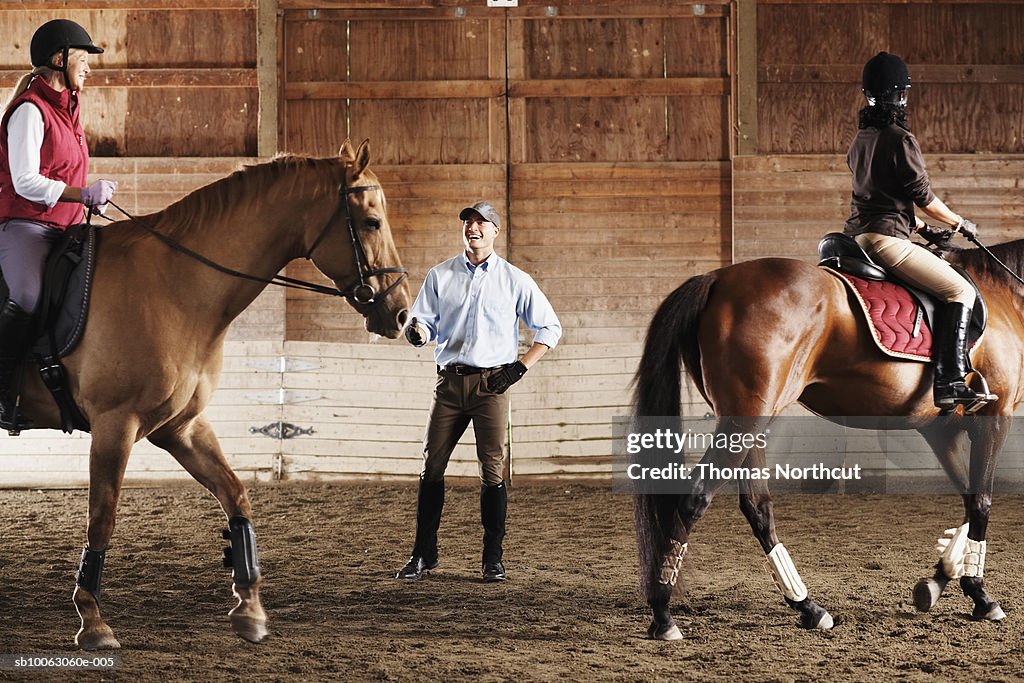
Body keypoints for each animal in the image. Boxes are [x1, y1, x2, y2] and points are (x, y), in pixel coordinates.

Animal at [12, 139, 409, 651]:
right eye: (371, 222)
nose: (401, 314)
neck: (176, 285)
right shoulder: (115, 423)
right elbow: (102, 516)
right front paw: (93, 620)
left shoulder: (180, 426)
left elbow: (236, 496)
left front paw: (250, 608)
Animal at [630, 239, 1024, 643]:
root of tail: (716, 278)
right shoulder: (994, 418)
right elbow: (981, 502)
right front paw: (980, 595)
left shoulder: (939, 431)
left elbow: (968, 500)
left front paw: (940, 578)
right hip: (744, 420)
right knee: (695, 498)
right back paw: (663, 614)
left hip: (749, 419)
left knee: (757, 507)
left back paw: (808, 607)